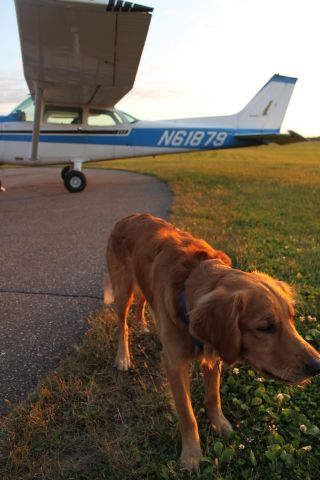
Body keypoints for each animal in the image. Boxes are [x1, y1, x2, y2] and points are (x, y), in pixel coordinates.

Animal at [106, 213, 320, 468]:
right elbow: (187, 414)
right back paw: (123, 357)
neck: (187, 286)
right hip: (122, 290)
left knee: (142, 302)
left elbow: (213, 396)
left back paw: (144, 325)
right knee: (123, 325)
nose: (317, 365)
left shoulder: (214, 353)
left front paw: (219, 424)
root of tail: (127, 217)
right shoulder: (174, 364)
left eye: (292, 318)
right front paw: (191, 455)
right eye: (265, 327)